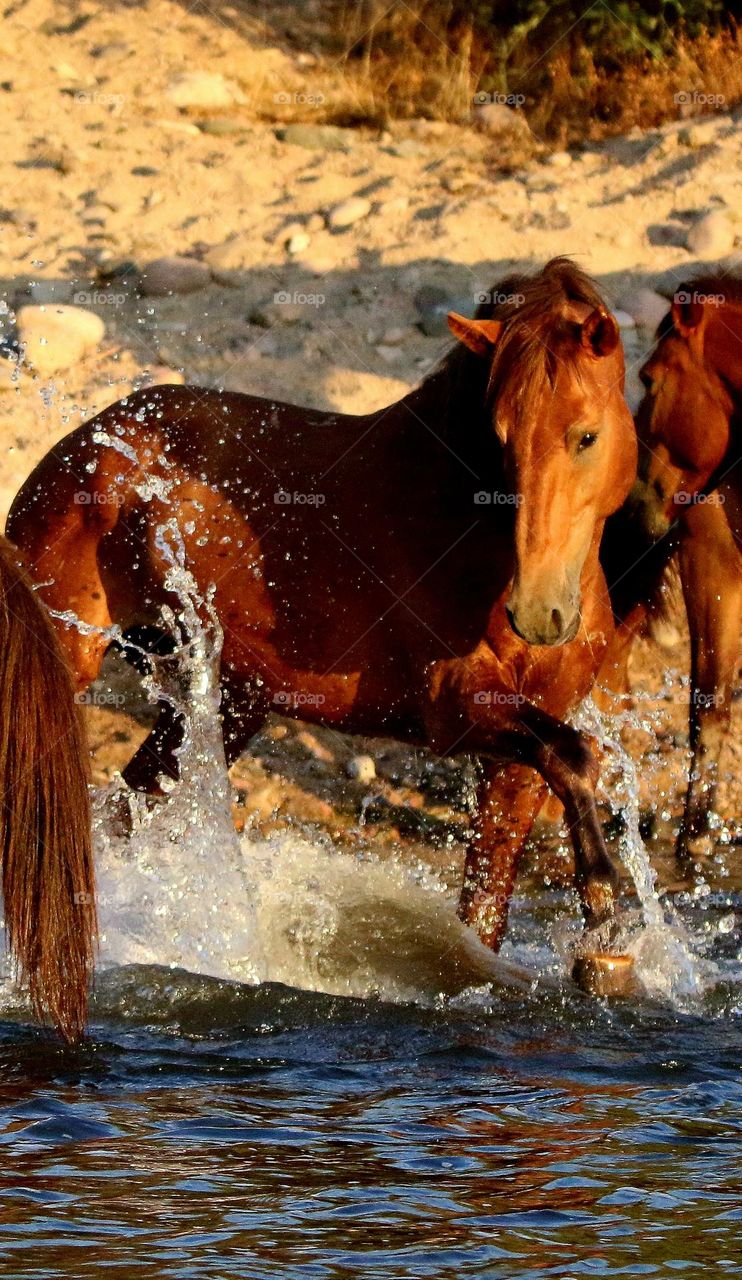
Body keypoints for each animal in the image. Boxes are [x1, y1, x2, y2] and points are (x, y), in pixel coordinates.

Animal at [6, 258, 637, 973]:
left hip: (225, 703)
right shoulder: (457, 708)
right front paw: (608, 921)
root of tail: (77, 446)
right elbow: (576, 754)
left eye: (586, 436)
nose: (537, 613)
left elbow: (490, 900)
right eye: (500, 443)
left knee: (124, 814)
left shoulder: (515, 761)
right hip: (70, 660)